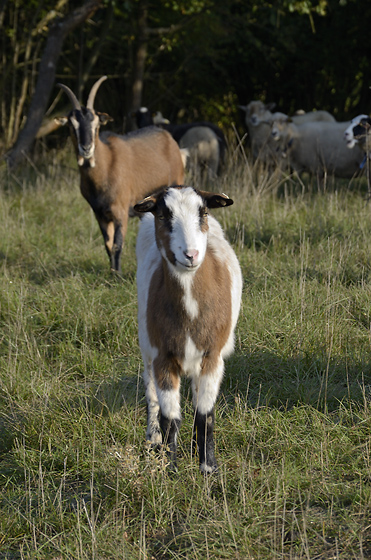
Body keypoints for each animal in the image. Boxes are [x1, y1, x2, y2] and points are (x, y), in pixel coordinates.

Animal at [55, 76, 186, 274]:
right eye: (72, 125)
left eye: (96, 124)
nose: (86, 148)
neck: (104, 168)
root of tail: (168, 138)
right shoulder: (100, 214)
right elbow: (108, 244)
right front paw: (112, 272)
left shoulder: (120, 211)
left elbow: (117, 244)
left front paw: (117, 275)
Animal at [135, 185, 243, 472]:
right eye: (164, 215)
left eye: (203, 212)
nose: (191, 255)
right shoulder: (162, 356)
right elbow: (170, 418)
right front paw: (169, 467)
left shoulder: (212, 356)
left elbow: (205, 415)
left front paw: (208, 467)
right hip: (146, 344)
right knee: (151, 396)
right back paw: (152, 440)